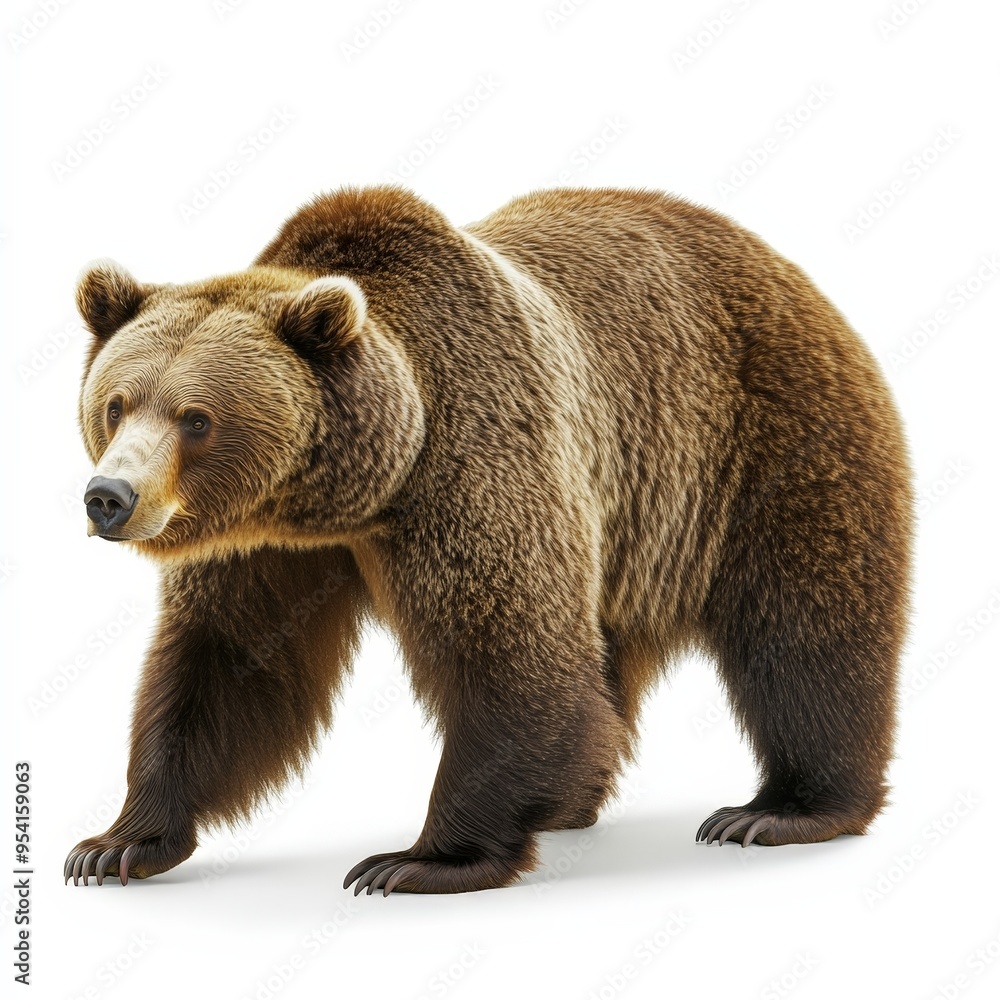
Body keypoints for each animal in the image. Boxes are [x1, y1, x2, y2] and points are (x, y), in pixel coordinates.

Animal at [65, 185, 913, 895]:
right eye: (116, 402)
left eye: (195, 417)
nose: (109, 497)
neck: (354, 494)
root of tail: (779, 262)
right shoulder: (263, 547)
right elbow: (228, 663)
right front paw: (116, 843)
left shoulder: (473, 464)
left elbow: (508, 650)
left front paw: (418, 860)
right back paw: (576, 802)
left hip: (769, 441)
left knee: (806, 627)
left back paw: (779, 809)